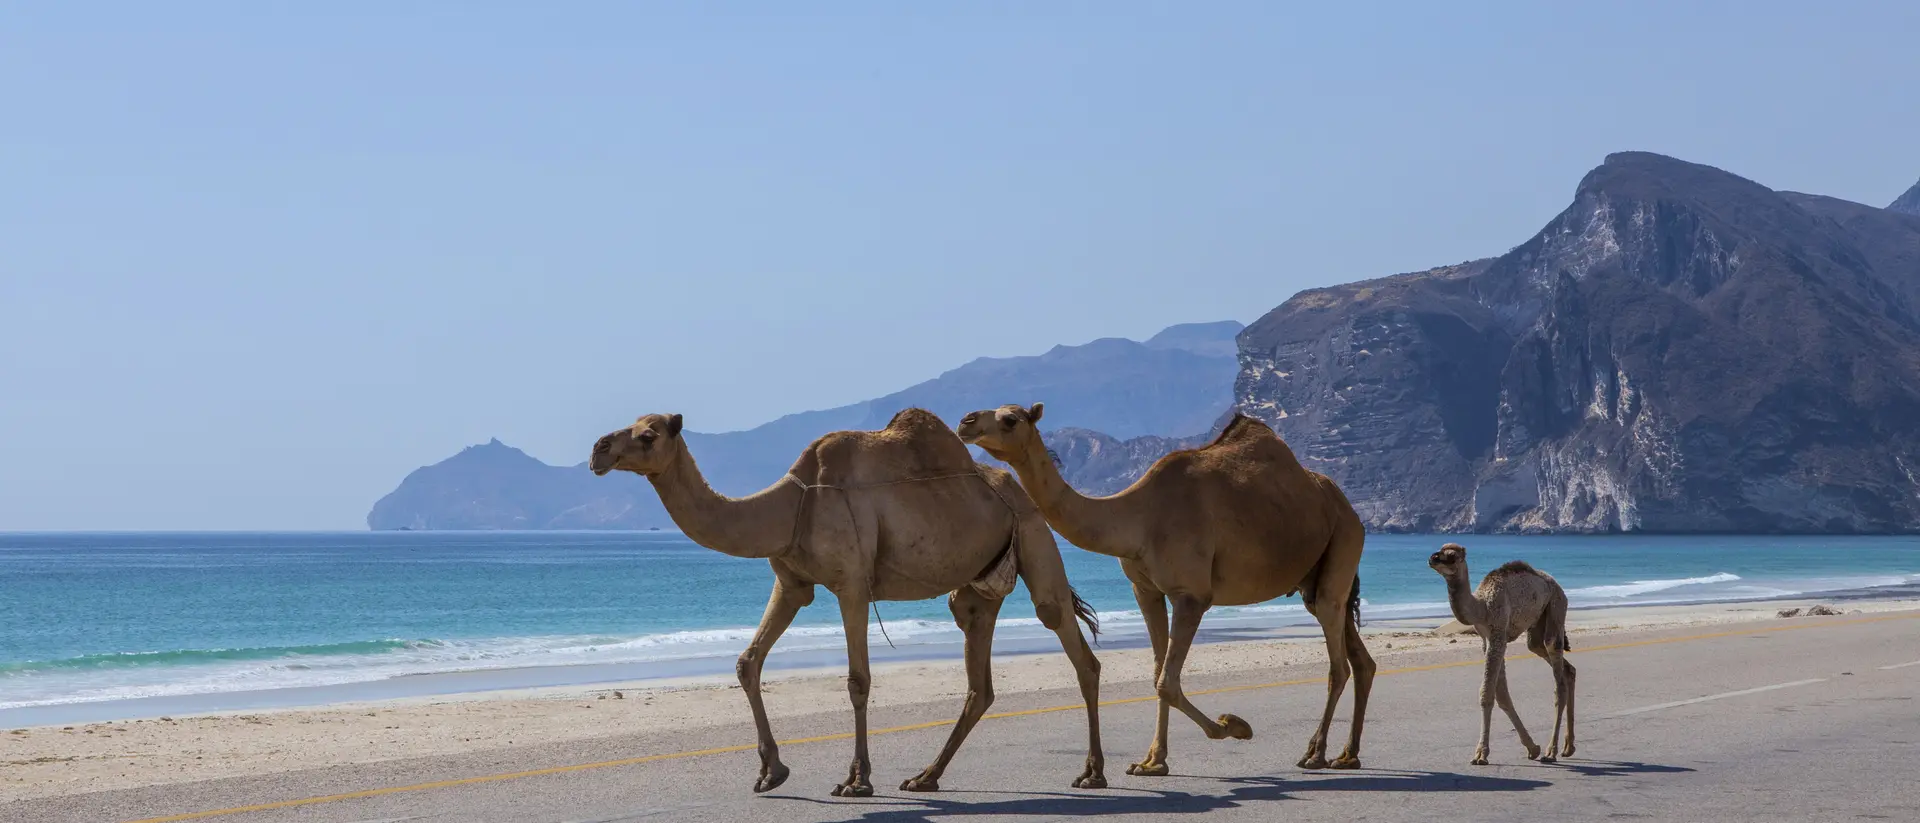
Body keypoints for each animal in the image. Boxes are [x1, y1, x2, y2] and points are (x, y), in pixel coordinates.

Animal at [590, 408, 1107, 796]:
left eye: (648, 435)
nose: (599, 449)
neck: (789, 507)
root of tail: (1017, 487)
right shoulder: (792, 584)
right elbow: (747, 662)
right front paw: (771, 773)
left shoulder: (853, 585)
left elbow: (858, 680)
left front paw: (856, 781)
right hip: (978, 588)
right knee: (979, 678)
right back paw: (925, 777)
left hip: (1035, 535)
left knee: (1071, 640)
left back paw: (1092, 773)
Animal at [957, 403, 1375, 775]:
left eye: (1010, 419)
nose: (966, 422)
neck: (1138, 518)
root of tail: (1349, 508)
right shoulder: (1145, 590)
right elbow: (1157, 672)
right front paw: (1151, 763)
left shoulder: (1191, 594)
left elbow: (1167, 683)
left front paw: (1233, 726)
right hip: (1314, 577)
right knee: (1359, 657)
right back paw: (1347, 755)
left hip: (1344, 541)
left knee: (1338, 661)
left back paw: (1315, 754)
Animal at [1426, 543, 1576, 765]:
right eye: (1439, 549)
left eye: (1452, 556)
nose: (1432, 558)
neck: (1481, 607)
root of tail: (1557, 585)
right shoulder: (1487, 639)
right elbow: (1502, 695)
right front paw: (1532, 748)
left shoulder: (1498, 634)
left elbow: (1487, 693)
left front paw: (1481, 754)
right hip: (1538, 625)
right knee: (1564, 666)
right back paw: (1568, 747)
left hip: (1556, 607)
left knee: (1558, 676)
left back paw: (1551, 751)